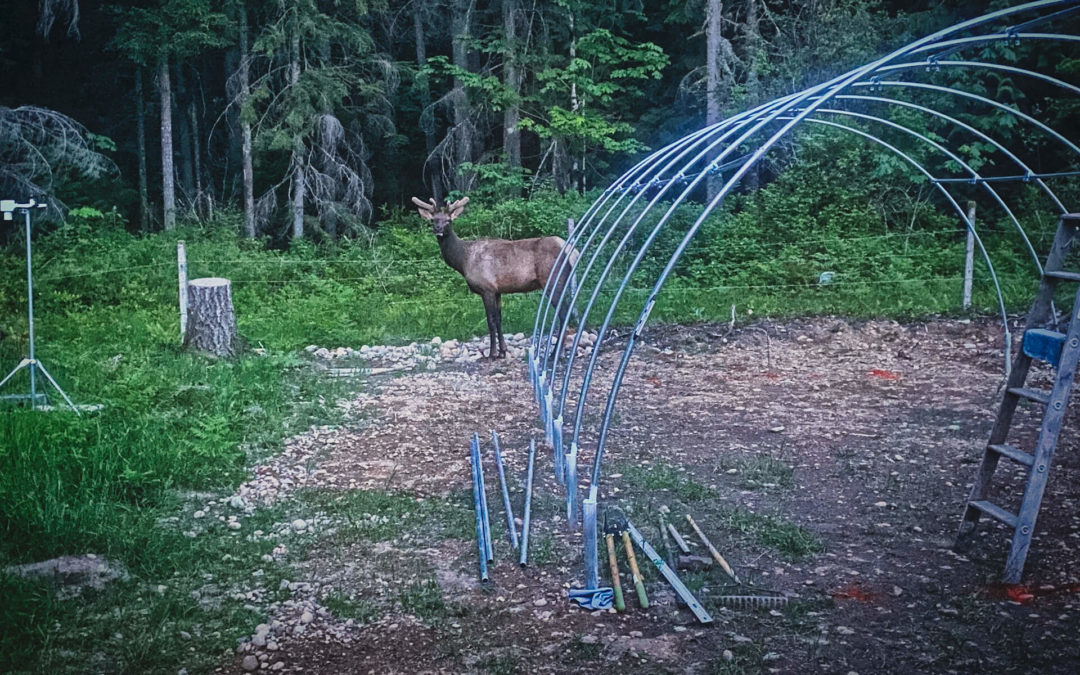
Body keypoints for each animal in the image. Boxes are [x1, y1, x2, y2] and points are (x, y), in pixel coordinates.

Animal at [410, 196, 578, 358]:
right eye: (433, 220)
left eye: (449, 220)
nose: (438, 229)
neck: (463, 261)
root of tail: (572, 250)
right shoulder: (497, 291)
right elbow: (498, 320)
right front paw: (503, 351)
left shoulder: (487, 288)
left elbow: (490, 321)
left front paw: (491, 353)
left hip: (553, 280)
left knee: (564, 313)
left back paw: (555, 353)